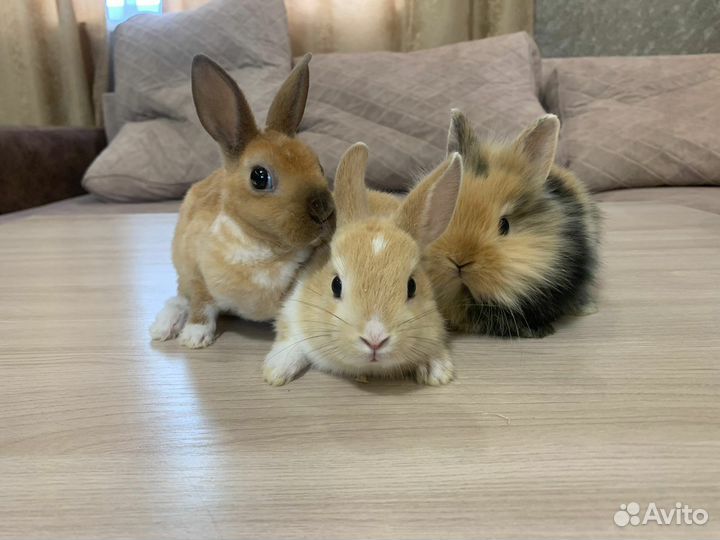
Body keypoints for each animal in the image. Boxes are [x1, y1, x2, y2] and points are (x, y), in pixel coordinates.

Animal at [150, 54, 335, 348]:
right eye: (259, 177)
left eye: (319, 165)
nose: (323, 209)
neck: (264, 247)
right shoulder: (199, 277)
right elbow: (201, 307)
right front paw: (194, 338)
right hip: (182, 270)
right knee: (178, 300)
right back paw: (163, 328)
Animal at [263, 143, 463, 386]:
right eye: (335, 285)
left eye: (412, 286)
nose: (375, 339)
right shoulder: (292, 307)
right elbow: (290, 338)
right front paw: (275, 371)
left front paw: (437, 371)